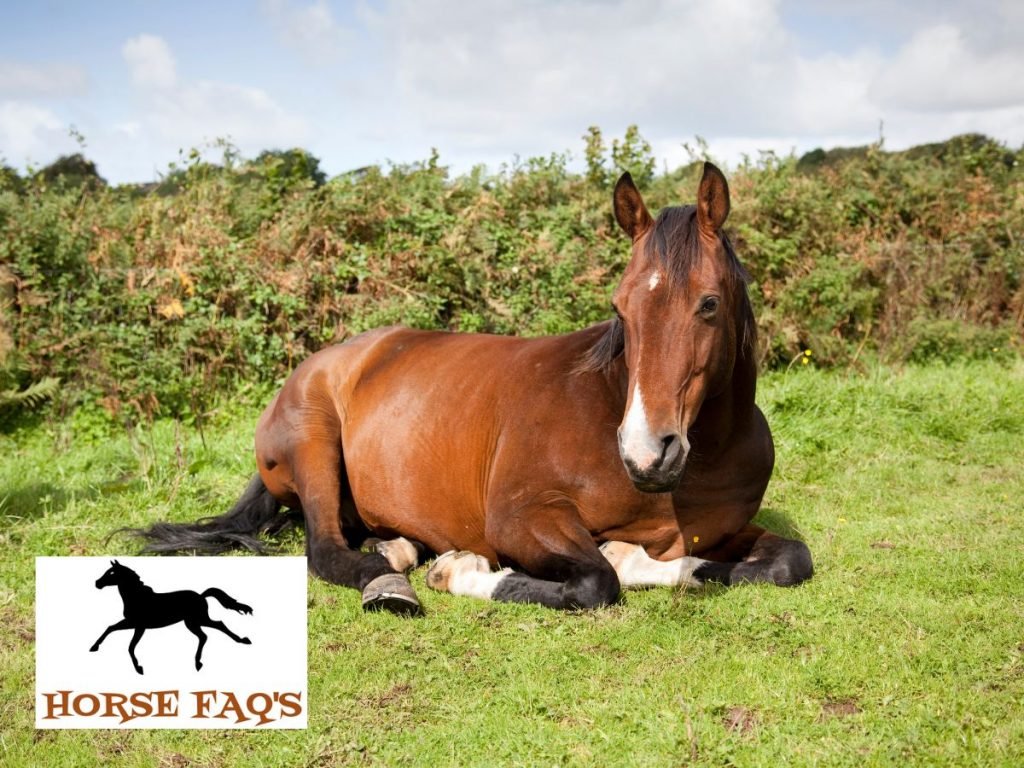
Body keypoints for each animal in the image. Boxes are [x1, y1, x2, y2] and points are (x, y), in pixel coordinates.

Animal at [89, 560, 252, 674]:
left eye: (111, 573)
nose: (97, 583)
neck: (136, 597)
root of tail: (201, 595)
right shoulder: (131, 623)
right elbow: (111, 628)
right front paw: (94, 647)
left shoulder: (139, 626)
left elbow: (130, 646)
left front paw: (139, 668)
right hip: (192, 622)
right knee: (208, 632)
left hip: (197, 620)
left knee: (216, 626)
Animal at [131, 163, 813, 615]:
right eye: (620, 307)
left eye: (708, 304)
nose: (647, 452)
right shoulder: (520, 519)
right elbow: (596, 583)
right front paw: (460, 571)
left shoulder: (724, 534)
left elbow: (786, 561)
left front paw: (634, 555)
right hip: (313, 445)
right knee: (324, 549)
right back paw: (391, 582)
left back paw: (397, 549)